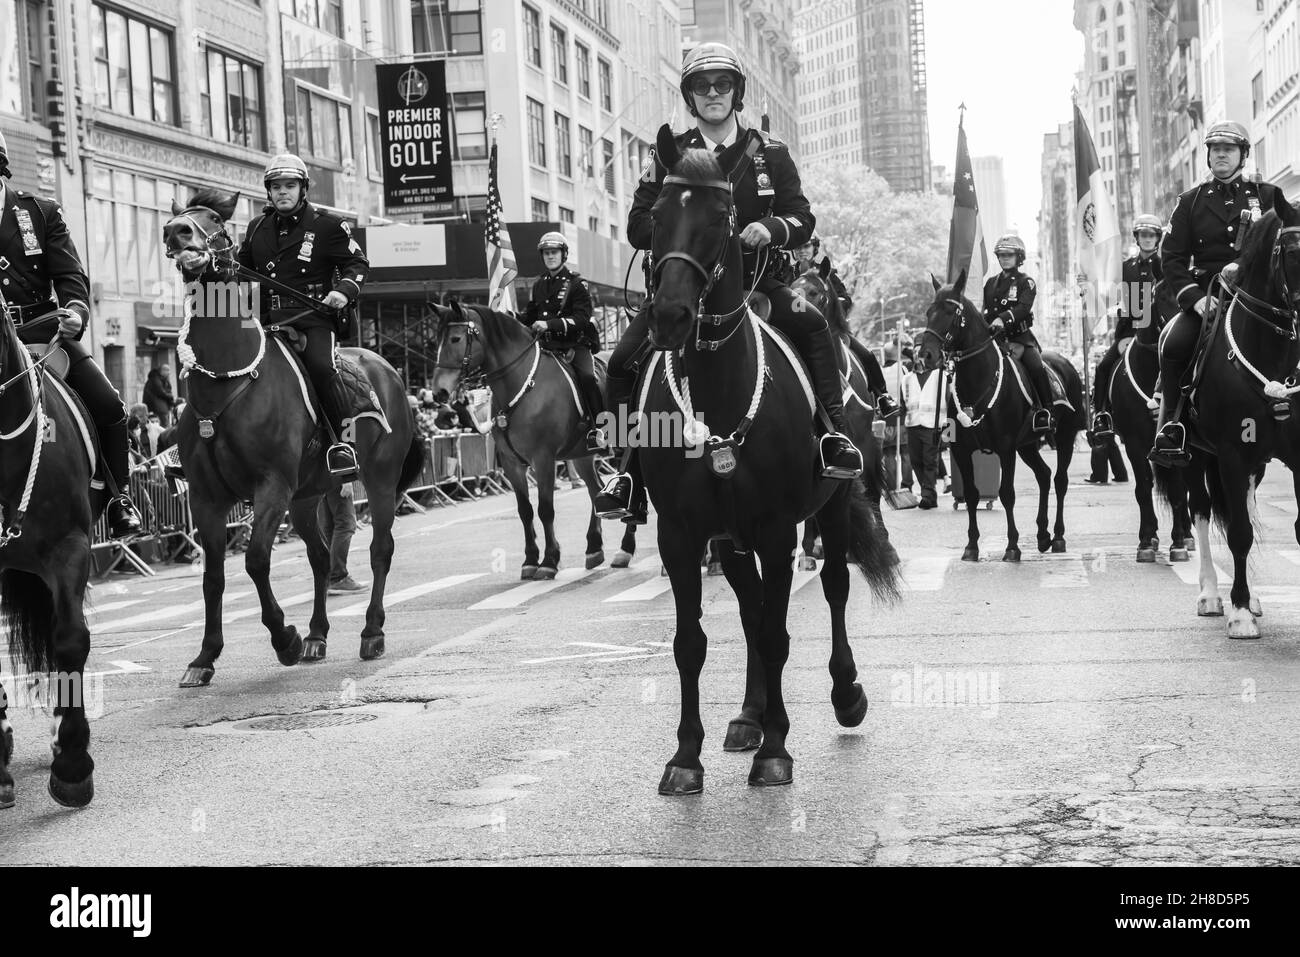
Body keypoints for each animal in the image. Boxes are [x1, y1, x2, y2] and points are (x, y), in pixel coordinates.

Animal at [157, 192, 421, 686]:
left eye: (215, 219)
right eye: (176, 217)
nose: (176, 234)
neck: (228, 379)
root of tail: (388, 367)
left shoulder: (271, 487)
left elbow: (256, 560)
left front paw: (285, 640)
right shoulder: (206, 498)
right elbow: (214, 577)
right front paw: (205, 656)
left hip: (377, 480)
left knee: (381, 549)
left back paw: (370, 632)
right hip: (307, 496)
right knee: (320, 556)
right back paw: (318, 635)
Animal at [634, 128, 899, 800]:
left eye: (721, 217)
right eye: (656, 216)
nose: (670, 317)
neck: (719, 387)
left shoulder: (779, 530)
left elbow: (779, 636)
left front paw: (777, 750)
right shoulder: (682, 534)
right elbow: (692, 643)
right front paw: (687, 756)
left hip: (831, 505)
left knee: (831, 589)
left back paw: (844, 694)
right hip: (731, 538)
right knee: (751, 610)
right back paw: (748, 717)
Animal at [915, 269, 1086, 564]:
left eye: (951, 312)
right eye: (928, 312)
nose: (926, 355)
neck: (977, 379)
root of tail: (1066, 363)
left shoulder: (1005, 448)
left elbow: (1007, 493)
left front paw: (1013, 546)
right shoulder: (961, 450)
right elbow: (971, 495)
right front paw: (971, 546)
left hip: (1064, 436)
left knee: (1060, 480)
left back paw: (1058, 536)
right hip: (1027, 445)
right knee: (1044, 475)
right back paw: (1042, 535)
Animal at [1164, 209, 1300, 634]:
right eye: (1293, 250)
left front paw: (1247, 601)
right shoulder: (1231, 456)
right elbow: (1239, 533)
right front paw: (1239, 613)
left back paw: (1253, 597)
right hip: (1195, 455)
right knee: (1203, 510)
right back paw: (1210, 593)